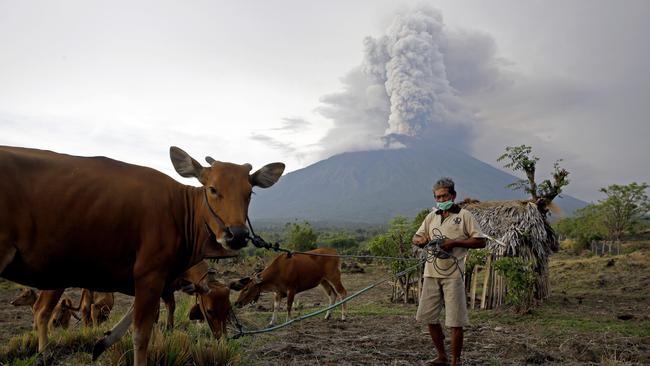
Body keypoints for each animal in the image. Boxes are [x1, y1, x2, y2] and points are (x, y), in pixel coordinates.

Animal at [0, 144, 284, 364]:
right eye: (212, 189)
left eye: (250, 192)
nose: (237, 235)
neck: (180, 211)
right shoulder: (150, 275)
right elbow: (141, 334)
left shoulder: (154, 281)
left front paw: (103, 342)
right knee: (42, 311)